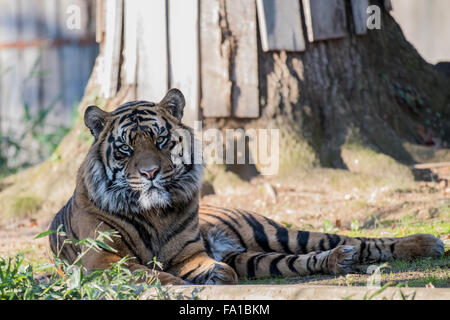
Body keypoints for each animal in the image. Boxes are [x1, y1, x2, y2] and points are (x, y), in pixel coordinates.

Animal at [48, 88, 442, 284]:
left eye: (160, 141)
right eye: (126, 149)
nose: (150, 173)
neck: (153, 213)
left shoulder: (190, 256)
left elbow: (207, 272)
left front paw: (205, 282)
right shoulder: (101, 260)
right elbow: (155, 277)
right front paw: (185, 286)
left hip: (274, 234)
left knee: (357, 240)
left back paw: (426, 242)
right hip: (255, 256)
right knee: (300, 261)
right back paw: (338, 262)